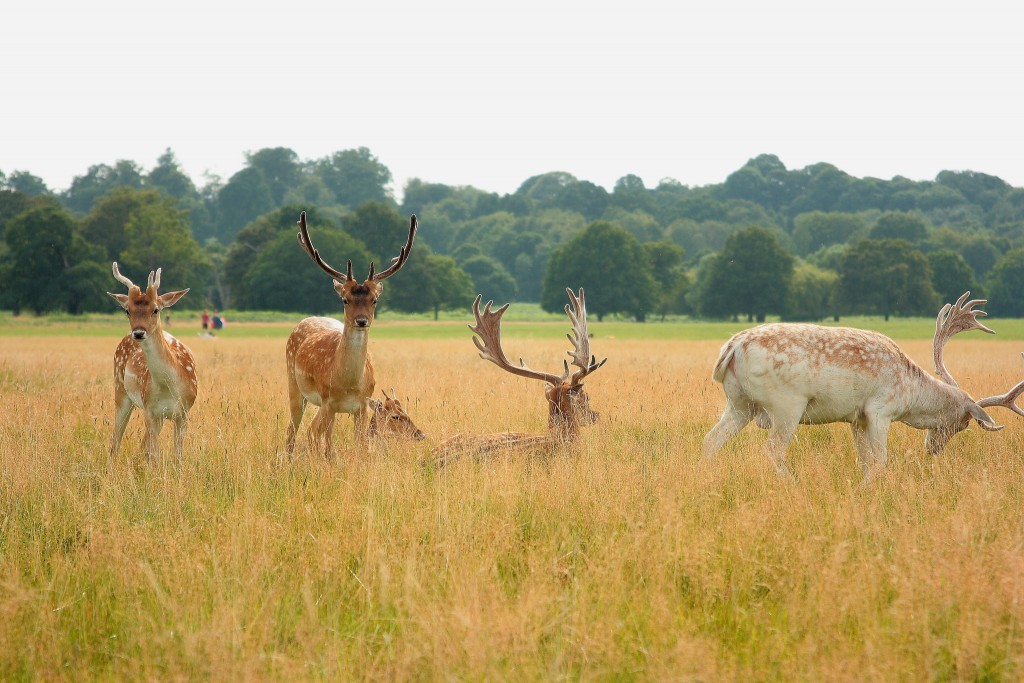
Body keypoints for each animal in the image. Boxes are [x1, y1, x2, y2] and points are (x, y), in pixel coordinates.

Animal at [107, 264, 196, 462]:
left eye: (156, 309)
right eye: (127, 310)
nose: (139, 333)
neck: (169, 386)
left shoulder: (184, 412)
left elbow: (178, 456)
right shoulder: (150, 410)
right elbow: (154, 455)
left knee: (140, 445)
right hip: (121, 390)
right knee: (115, 442)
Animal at [284, 210, 415, 462]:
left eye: (375, 300)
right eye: (345, 299)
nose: (361, 321)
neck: (349, 384)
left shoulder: (362, 405)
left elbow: (360, 444)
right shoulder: (328, 401)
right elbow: (325, 445)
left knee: (312, 431)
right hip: (295, 387)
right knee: (293, 431)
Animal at [704, 290, 1024, 479]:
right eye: (961, 424)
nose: (932, 449)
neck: (909, 392)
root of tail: (731, 348)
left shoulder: (856, 418)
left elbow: (865, 460)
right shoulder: (880, 410)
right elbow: (881, 460)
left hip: (738, 403)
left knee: (711, 440)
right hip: (786, 405)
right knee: (773, 449)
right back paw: (791, 482)